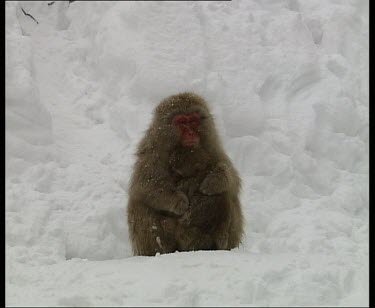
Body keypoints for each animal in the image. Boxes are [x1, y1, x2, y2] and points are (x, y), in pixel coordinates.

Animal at [128, 92, 245, 256]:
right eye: (182, 121)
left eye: (193, 120)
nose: (190, 133)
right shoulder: (151, 154)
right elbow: (145, 186)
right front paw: (178, 201)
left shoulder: (213, 148)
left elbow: (233, 179)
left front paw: (215, 180)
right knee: (139, 204)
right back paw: (161, 250)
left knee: (227, 194)